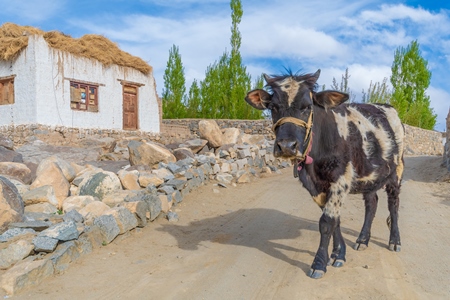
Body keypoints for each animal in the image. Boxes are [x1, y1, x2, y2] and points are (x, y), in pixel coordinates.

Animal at [244, 69, 406, 278]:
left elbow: (327, 222)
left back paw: (394, 240)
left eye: (307, 106)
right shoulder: (315, 185)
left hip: (397, 170)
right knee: (372, 203)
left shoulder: (340, 179)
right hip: (369, 174)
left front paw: (319, 263)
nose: (287, 146)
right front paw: (338, 253)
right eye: (272, 107)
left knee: (393, 204)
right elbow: (334, 220)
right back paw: (362, 239)